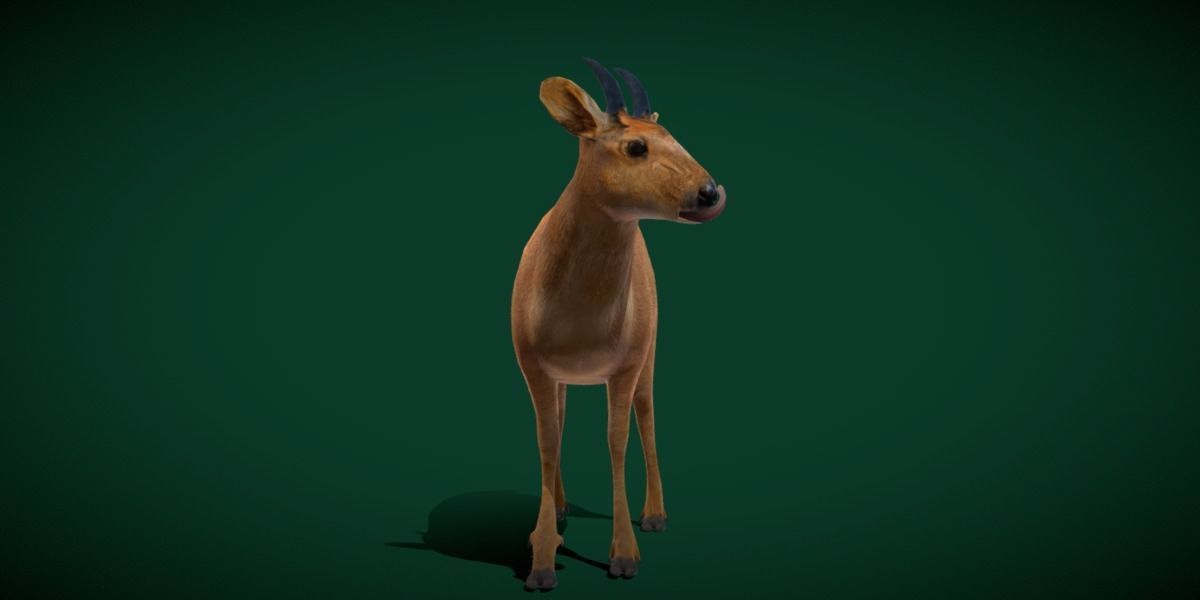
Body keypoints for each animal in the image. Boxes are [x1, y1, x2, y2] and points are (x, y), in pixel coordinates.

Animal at [511, 58, 726, 590]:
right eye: (635, 146)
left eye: (672, 135)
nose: (711, 192)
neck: (578, 320)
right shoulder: (532, 365)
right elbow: (547, 441)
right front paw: (541, 557)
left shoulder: (625, 362)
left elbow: (616, 440)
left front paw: (625, 556)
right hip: (566, 376)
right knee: (562, 419)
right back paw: (561, 508)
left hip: (651, 346)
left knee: (647, 412)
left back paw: (655, 515)